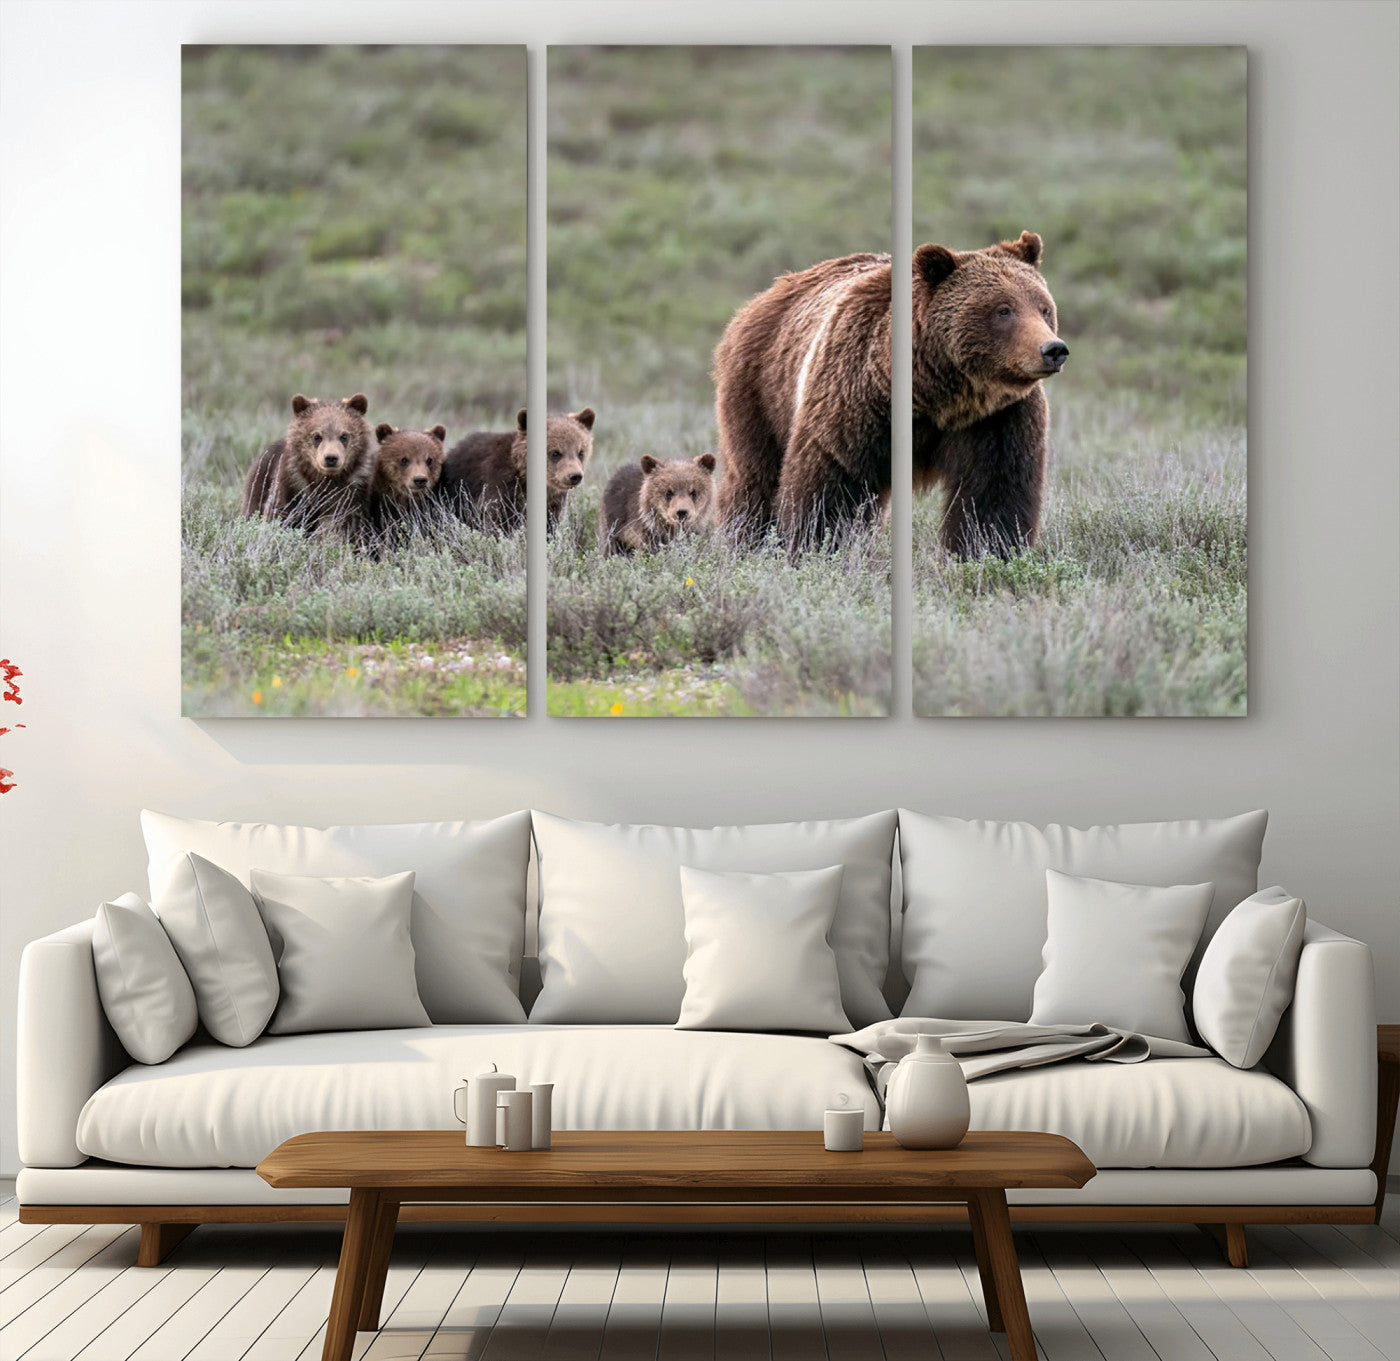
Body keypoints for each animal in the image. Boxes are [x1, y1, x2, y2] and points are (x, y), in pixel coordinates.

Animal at [240, 393, 374, 541]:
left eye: (344, 435)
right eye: (317, 436)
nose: (331, 458)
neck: (325, 479)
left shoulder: (351, 491)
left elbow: (339, 522)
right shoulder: (293, 484)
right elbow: (278, 513)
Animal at [439, 407, 595, 534]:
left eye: (581, 452)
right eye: (555, 453)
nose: (574, 476)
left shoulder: (553, 503)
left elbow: (549, 525)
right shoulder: (500, 487)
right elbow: (498, 523)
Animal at [911, 230, 1068, 557]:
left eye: (1044, 308)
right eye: (1003, 310)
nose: (1053, 349)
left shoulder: (999, 418)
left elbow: (995, 494)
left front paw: (988, 549)